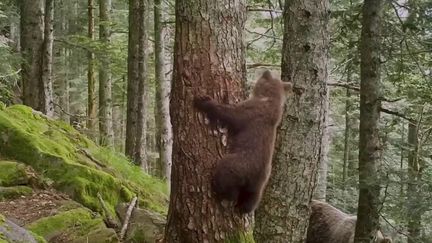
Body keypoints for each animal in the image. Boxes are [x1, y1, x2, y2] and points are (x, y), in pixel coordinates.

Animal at [193, 70, 292, 215]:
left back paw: (224, 192)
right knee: (253, 198)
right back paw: (243, 208)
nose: (265, 71)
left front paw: (203, 100)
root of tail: (253, 177)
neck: (268, 99)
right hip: (260, 183)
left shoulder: (252, 111)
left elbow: (231, 114)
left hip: (240, 164)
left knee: (225, 174)